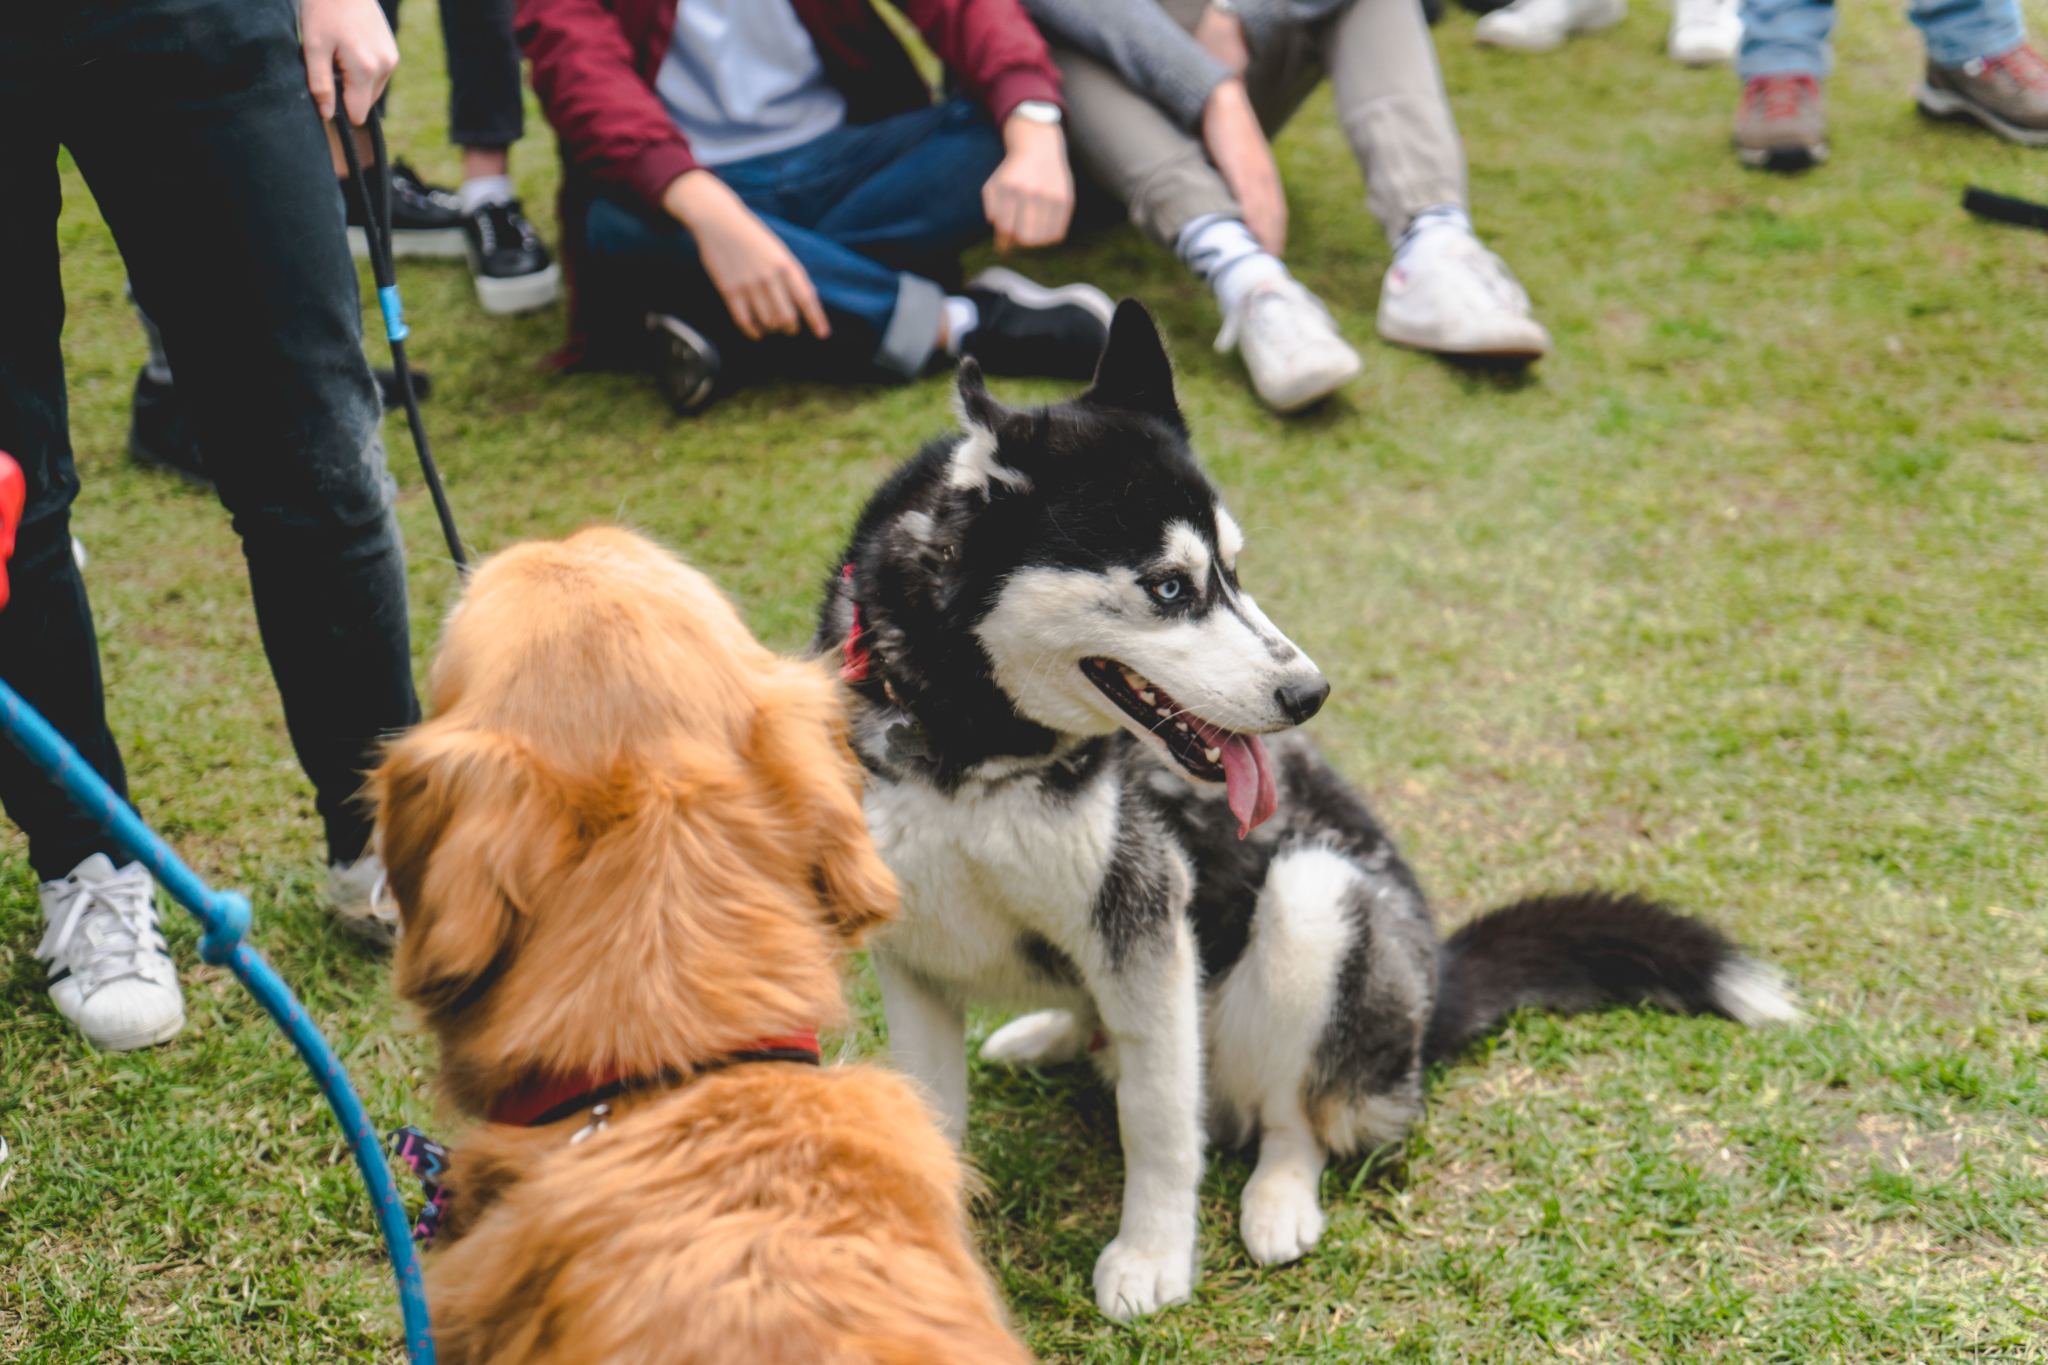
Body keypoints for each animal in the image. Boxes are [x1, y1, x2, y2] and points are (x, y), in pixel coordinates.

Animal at [815, 304, 1794, 1317]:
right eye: (1169, 587)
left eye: (1235, 571)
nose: (1309, 694)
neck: (970, 750)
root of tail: (1434, 991)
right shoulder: (916, 958)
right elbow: (935, 1112)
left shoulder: (1147, 923)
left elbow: (1159, 1122)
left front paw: (1153, 1256)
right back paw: (1051, 1031)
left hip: (1316, 901)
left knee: (1295, 1115)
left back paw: (1278, 1196)